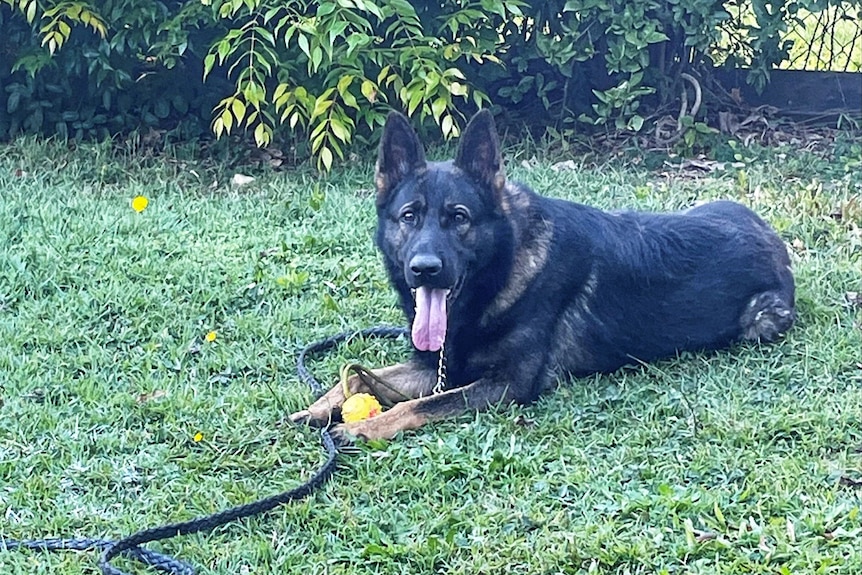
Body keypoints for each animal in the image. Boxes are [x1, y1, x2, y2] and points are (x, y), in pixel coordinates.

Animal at [294, 110, 800, 440]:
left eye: (459, 218)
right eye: (409, 216)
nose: (424, 270)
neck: (502, 271)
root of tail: (773, 236)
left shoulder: (508, 385)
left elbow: (420, 404)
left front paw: (368, 427)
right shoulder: (435, 366)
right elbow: (360, 375)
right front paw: (319, 406)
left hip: (762, 320)